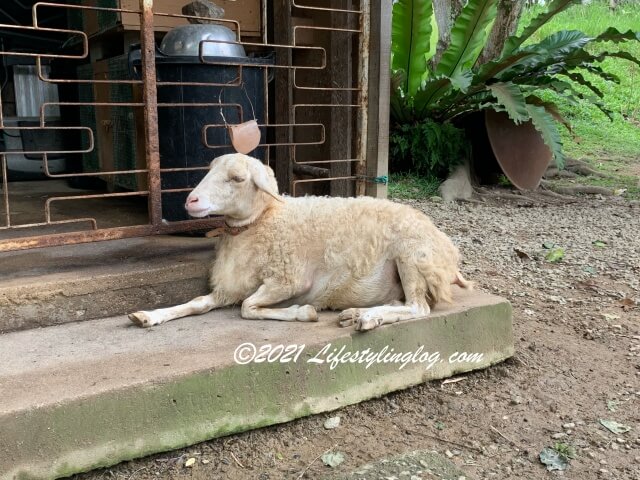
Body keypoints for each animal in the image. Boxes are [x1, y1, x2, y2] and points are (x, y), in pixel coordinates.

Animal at [129, 153, 470, 330]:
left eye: (237, 179)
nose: (191, 201)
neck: (265, 221)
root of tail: (448, 250)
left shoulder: (289, 281)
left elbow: (248, 308)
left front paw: (303, 313)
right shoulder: (230, 287)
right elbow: (198, 303)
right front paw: (149, 316)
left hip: (414, 256)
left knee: (418, 308)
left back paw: (366, 318)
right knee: (404, 304)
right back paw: (358, 314)